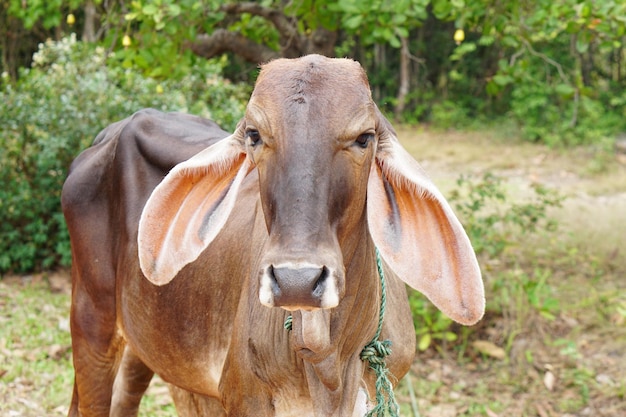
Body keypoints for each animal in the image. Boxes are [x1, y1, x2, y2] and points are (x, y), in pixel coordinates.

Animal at [62, 55, 482, 416]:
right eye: (254, 135)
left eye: (364, 138)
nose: (297, 281)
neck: (330, 365)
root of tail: (108, 135)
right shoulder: (243, 396)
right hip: (92, 319)